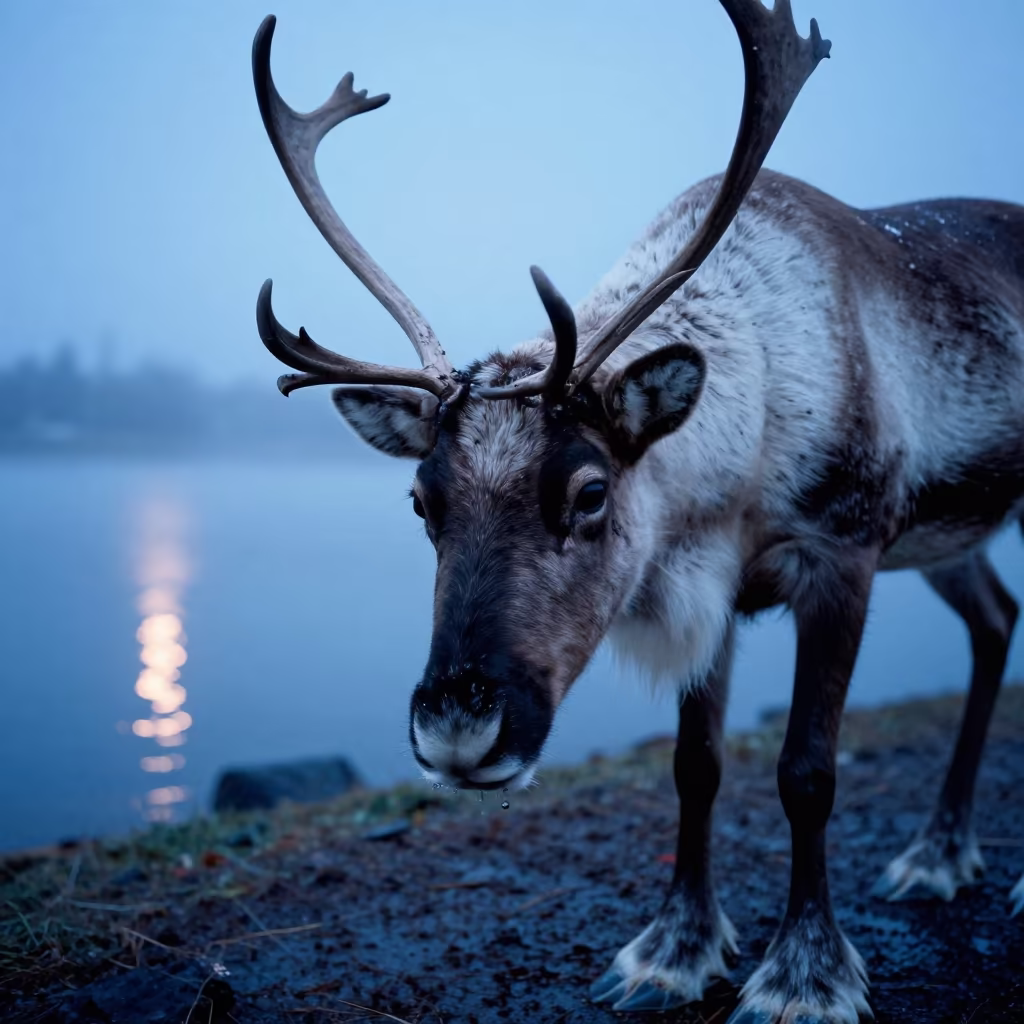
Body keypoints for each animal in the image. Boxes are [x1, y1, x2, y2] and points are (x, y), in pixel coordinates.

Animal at [250, 2, 1024, 1021]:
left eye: (589, 492)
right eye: (420, 500)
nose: (457, 730)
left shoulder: (842, 554)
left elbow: (807, 771)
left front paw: (805, 975)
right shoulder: (709, 590)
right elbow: (696, 767)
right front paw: (675, 951)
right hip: (949, 536)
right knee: (996, 620)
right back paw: (939, 856)